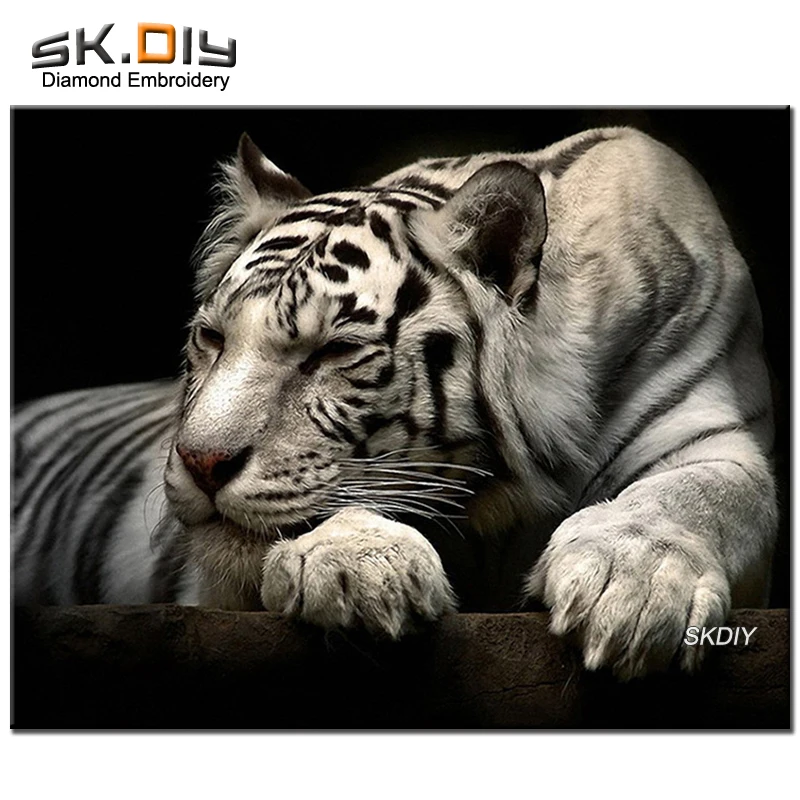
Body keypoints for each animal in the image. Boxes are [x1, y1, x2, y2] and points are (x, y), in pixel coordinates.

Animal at [13, 126, 777, 680]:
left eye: (332, 353)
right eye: (213, 338)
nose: (200, 463)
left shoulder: (711, 430)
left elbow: (698, 495)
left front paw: (632, 586)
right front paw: (357, 568)